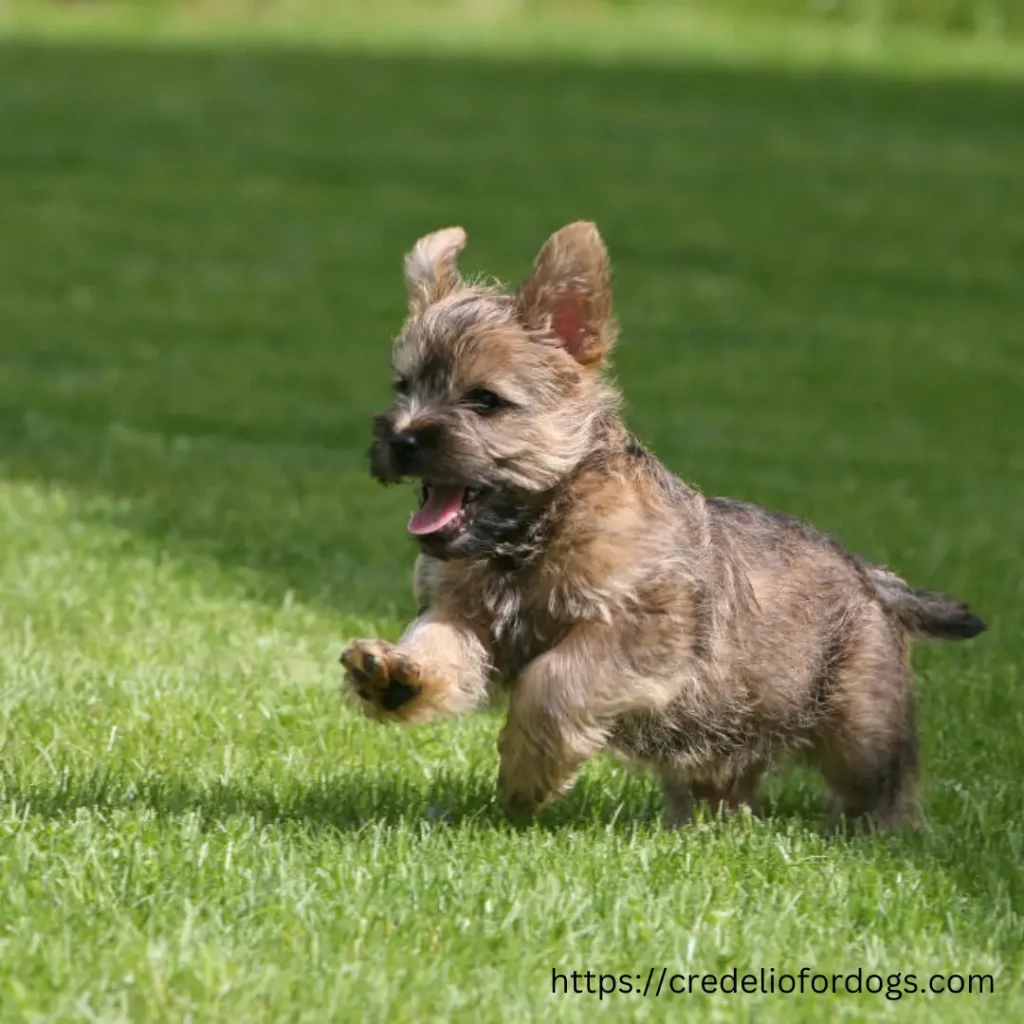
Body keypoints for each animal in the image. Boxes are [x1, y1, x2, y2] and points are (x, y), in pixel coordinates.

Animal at [339, 220, 987, 827]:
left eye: (485, 400)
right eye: (404, 386)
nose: (400, 439)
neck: (535, 534)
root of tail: (870, 575)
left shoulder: (643, 633)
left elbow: (555, 679)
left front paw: (526, 775)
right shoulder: (461, 609)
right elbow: (439, 642)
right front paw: (395, 674)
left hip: (861, 725)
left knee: (881, 785)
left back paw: (874, 835)